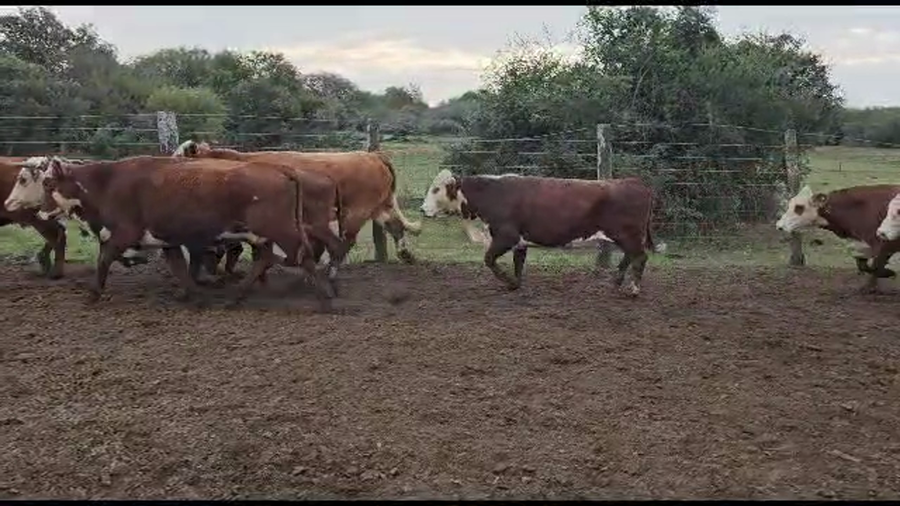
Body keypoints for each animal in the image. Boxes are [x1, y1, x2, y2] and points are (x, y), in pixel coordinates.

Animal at [36, 156, 336, 310]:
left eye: (49, 183)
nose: (39, 211)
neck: (107, 183)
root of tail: (281, 169)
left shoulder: (123, 233)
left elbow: (104, 259)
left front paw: (93, 293)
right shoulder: (166, 239)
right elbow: (179, 267)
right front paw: (190, 294)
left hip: (281, 230)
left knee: (304, 257)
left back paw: (326, 297)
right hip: (261, 234)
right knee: (265, 259)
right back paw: (237, 296)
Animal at [173, 140, 421, 264]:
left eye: (180, 156)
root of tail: (373, 155)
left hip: (357, 211)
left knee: (347, 240)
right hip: (379, 206)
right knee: (395, 226)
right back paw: (406, 255)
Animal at [419, 171, 661, 297]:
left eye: (436, 189)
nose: (422, 209)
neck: (492, 194)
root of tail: (635, 182)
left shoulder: (506, 236)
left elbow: (488, 259)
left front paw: (508, 281)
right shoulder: (520, 242)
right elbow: (518, 264)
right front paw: (515, 284)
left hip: (627, 234)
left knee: (640, 257)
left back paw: (633, 289)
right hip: (625, 236)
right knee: (630, 256)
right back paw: (616, 282)